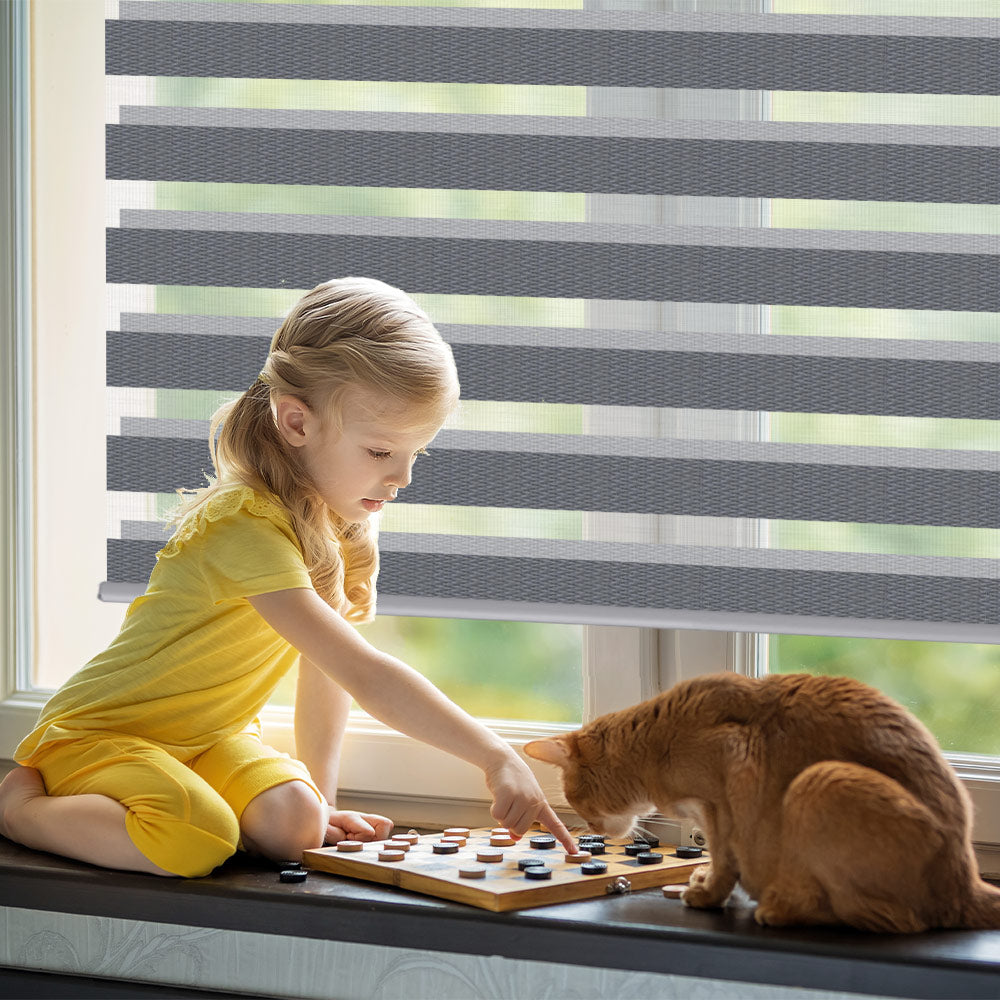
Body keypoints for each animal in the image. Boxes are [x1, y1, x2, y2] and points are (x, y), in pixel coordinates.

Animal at [524, 672, 1000, 936]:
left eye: (575, 799)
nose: (590, 832)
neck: (658, 738)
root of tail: (965, 878)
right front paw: (702, 881)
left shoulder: (725, 787)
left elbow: (724, 859)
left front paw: (705, 893)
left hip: (819, 781)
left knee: (891, 920)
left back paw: (780, 907)